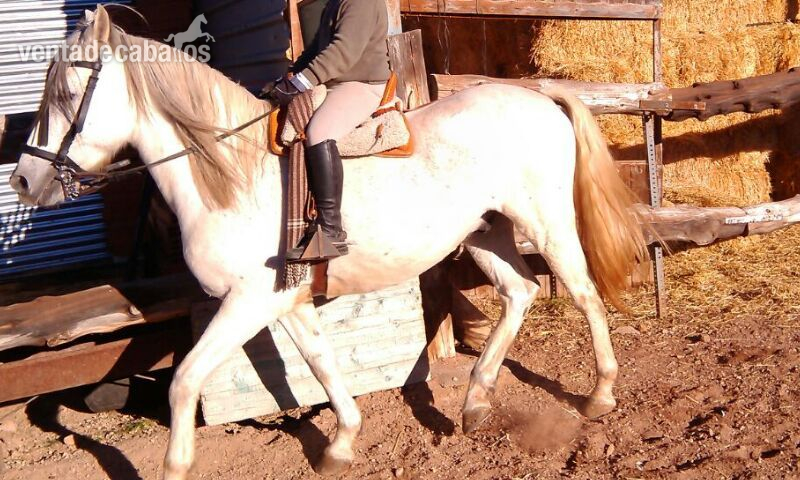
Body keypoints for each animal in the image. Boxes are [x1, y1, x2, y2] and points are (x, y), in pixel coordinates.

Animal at [10, 6, 647, 479]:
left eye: (67, 93)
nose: (23, 181)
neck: (233, 174)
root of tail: (540, 96)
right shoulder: (284, 300)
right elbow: (320, 362)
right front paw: (340, 442)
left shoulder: (248, 302)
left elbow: (185, 379)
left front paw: (176, 465)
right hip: (486, 233)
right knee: (520, 292)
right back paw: (474, 401)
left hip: (547, 224)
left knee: (584, 294)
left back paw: (600, 394)